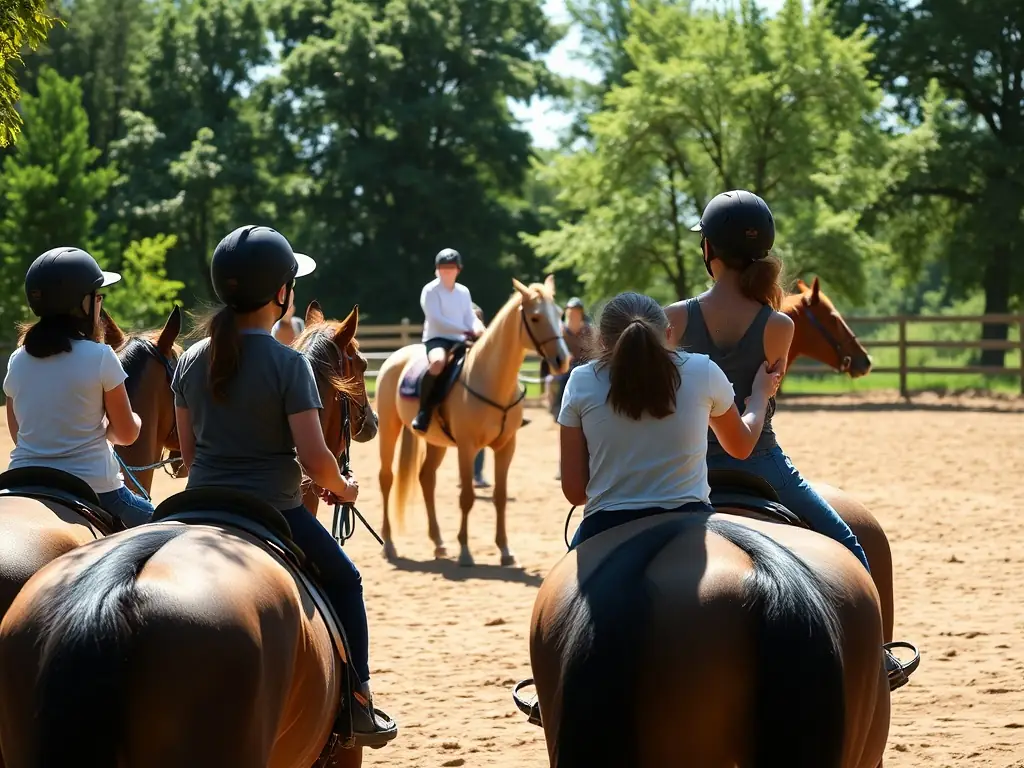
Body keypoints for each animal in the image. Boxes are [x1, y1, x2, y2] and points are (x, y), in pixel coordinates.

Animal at [375, 275, 570, 567]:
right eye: (535, 317)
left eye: (559, 314)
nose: (562, 360)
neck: (489, 378)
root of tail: (396, 357)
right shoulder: (467, 448)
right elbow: (466, 497)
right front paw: (465, 552)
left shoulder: (506, 447)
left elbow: (500, 497)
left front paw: (505, 551)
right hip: (389, 429)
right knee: (386, 478)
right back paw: (389, 545)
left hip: (436, 443)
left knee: (426, 478)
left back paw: (439, 544)